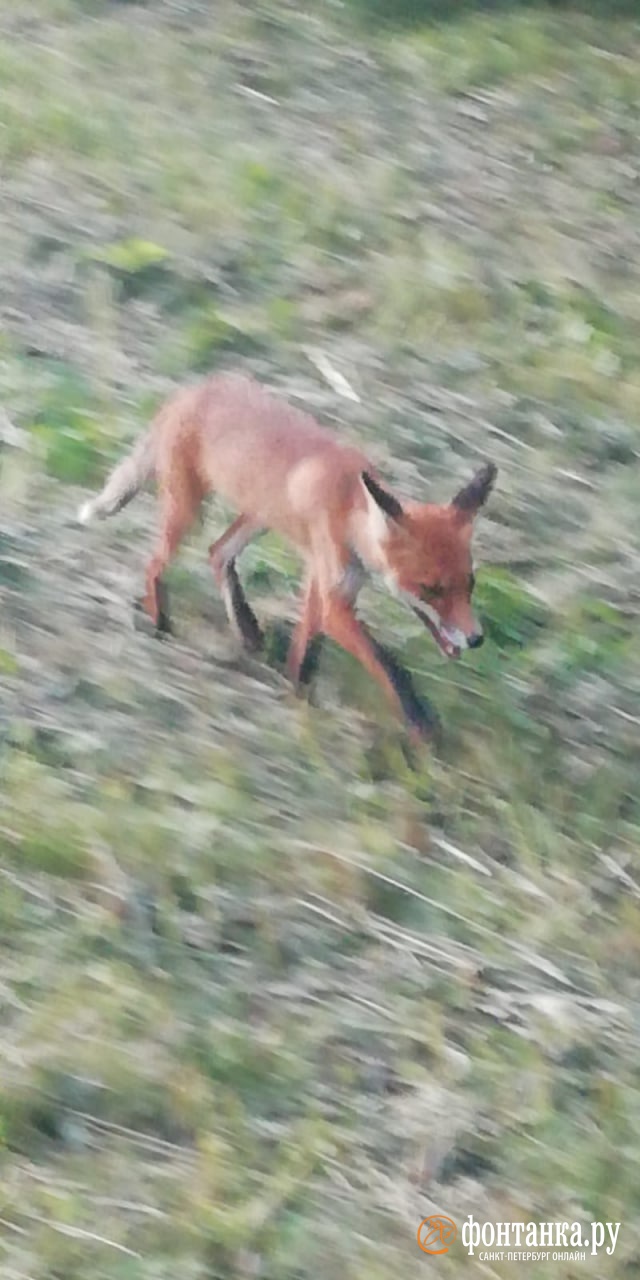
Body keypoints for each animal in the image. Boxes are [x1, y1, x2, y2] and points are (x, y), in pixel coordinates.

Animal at [76, 373, 494, 742]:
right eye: (431, 589)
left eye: (470, 584)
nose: (476, 639)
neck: (347, 507)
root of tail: (188, 390)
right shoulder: (334, 599)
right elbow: (387, 663)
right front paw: (420, 722)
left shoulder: (323, 580)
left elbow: (307, 646)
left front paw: (297, 688)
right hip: (188, 512)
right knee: (155, 563)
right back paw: (159, 620)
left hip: (258, 517)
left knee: (217, 553)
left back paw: (247, 631)